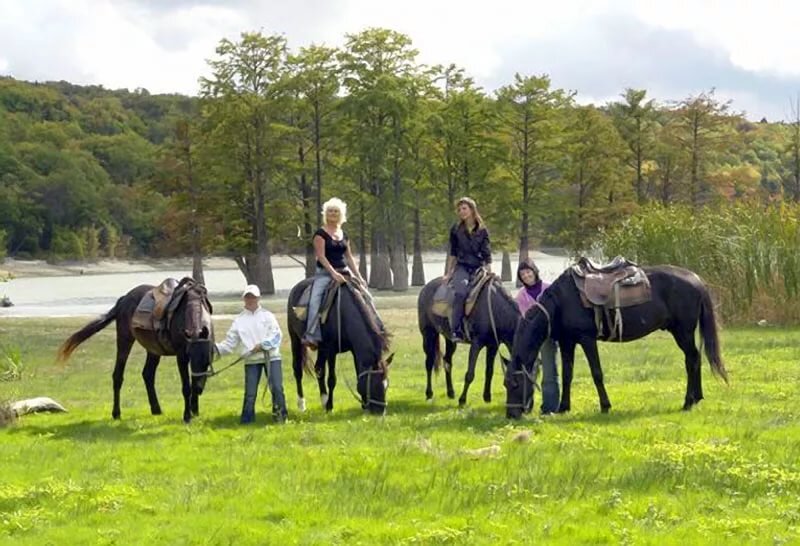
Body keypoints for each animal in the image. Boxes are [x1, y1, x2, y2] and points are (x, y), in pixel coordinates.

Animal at [57, 276, 214, 420]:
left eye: (207, 363)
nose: (200, 389)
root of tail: (123, 299)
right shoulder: (182, 357)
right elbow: (186, 387)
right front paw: (187, 416)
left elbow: (191, 383)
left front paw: (194, 411)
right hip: (125, 340)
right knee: (118, 375)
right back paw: (116, 413)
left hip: (153, 349)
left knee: (148, 374)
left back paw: (156, 409)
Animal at [288, 276, 394, 412]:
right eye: (374, 384)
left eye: (386, 385)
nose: (380, 411)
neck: (344, 314)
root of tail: (295, 288)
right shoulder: (331, 350)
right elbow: (332, 379)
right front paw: (330, 406)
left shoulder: (353, 350)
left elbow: (357, 374)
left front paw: (363, 405)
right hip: (295, 339)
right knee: (298, 369)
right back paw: (302, 404)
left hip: (321, 349)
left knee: (319, 369)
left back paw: (323, 399)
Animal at [506, 266, 732, 418]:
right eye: (505, 383)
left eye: (516, 384)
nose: (511, 415)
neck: (561, 302)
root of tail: (697, 279)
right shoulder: (567, 342)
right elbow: (567, 375)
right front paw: (563, 408)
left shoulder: (587, 339)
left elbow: (597, 373)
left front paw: (605, 406)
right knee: (694, 358)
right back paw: (697, 398)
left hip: (683, 332)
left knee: (691, 359)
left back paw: (687, 402)